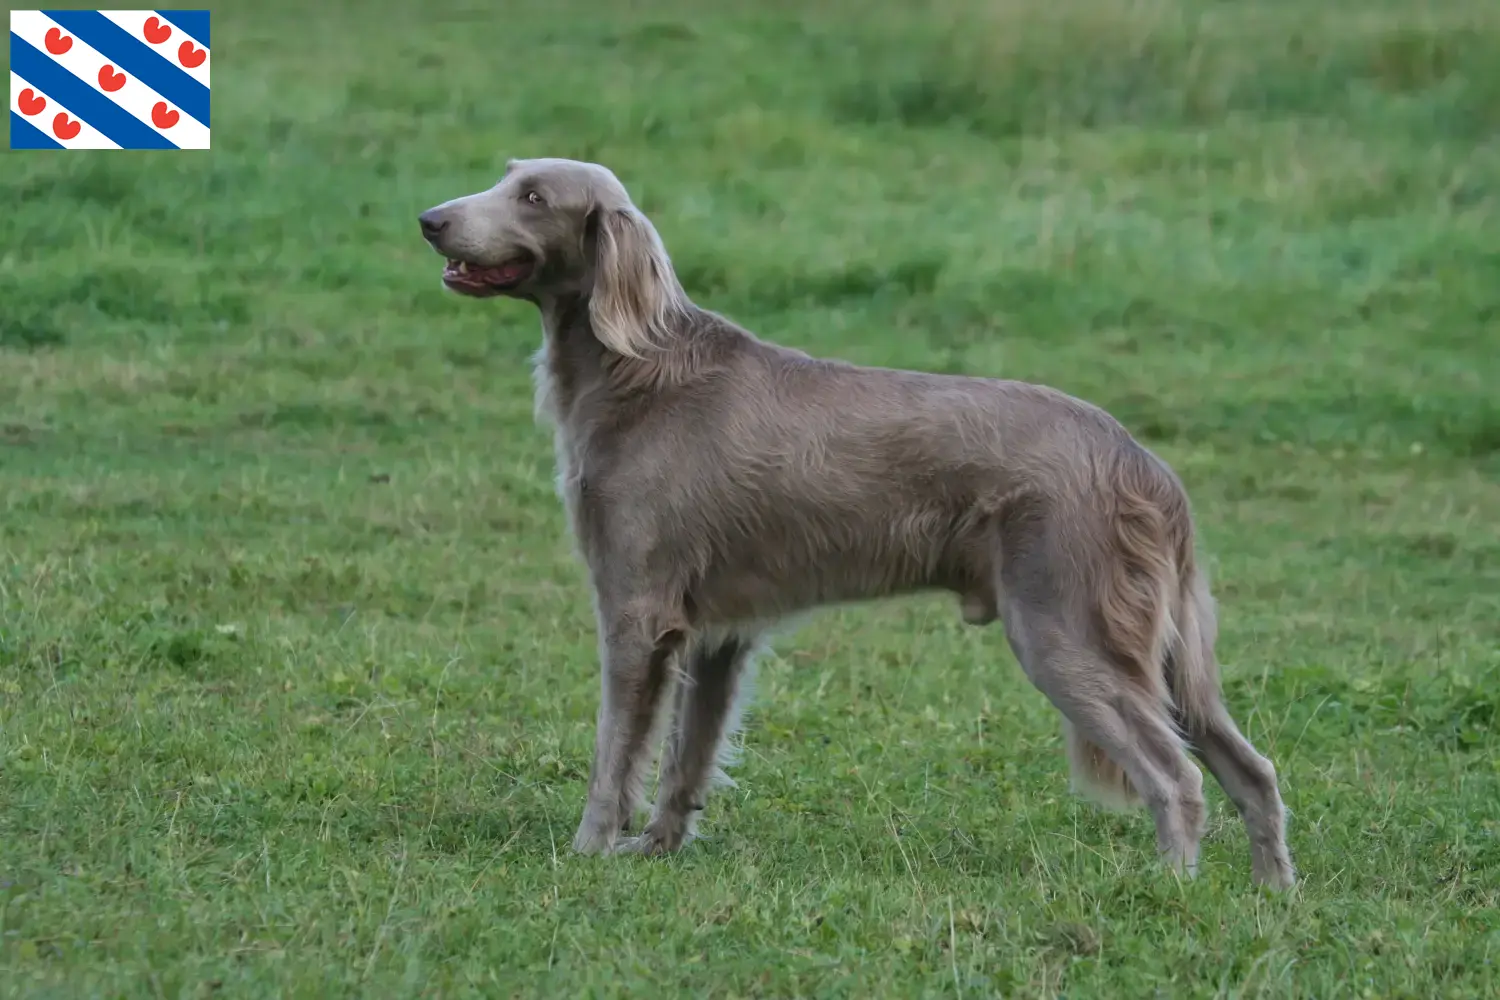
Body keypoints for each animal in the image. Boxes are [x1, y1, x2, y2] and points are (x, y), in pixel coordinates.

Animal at [417, 158, 1296, 893]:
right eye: (504, 177)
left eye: (534, 197)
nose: (430, 218)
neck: (640, 370)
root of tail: (1143, 464)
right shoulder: (716, 634)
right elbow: (684, 761)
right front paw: (658, 849)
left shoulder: (637, 611)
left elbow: (616, 755)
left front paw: (588, 850)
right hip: (1167, 655)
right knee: (1252, 769)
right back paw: (1271, 893)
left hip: (1063, 629)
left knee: (1175, 775)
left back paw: (1169, 888)